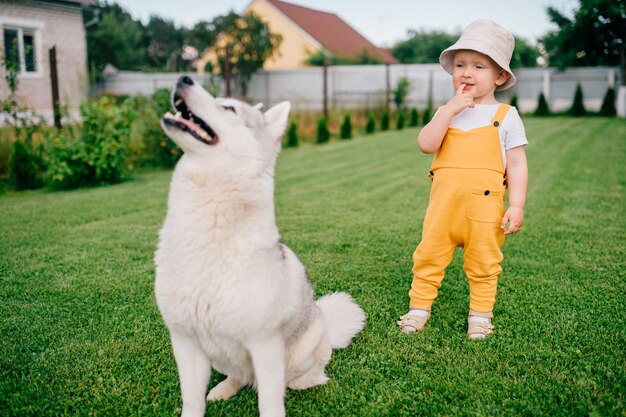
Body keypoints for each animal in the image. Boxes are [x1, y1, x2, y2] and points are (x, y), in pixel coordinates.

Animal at [154, 75, 366, 416]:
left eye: (228, 107)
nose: (183, 78)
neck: (209, 230)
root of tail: (324, 321)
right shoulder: (186, 342)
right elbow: (192, 400)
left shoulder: (265, 346)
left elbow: (269, 401)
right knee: (239, 376)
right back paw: (224, 389)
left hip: (302, 351)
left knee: (300, 376)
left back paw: (309, 381)